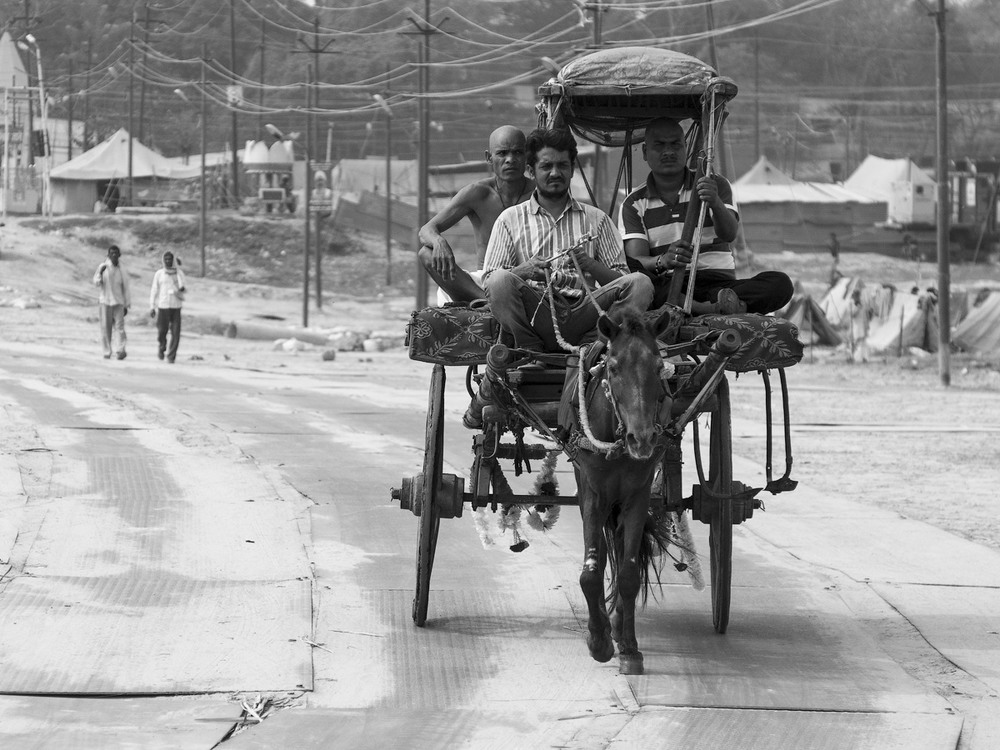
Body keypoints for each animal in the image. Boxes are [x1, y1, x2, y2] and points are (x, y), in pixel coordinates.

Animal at [568, 306, 676, 676]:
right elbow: (591, 571)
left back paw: (614, 623)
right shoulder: (592, 493)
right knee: (601, 552)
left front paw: (629, 648)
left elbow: (628, 573)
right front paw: (598, 641)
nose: (641, 440)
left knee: (614, 546)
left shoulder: (637, 496)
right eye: (613, 368)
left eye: (657, 365)